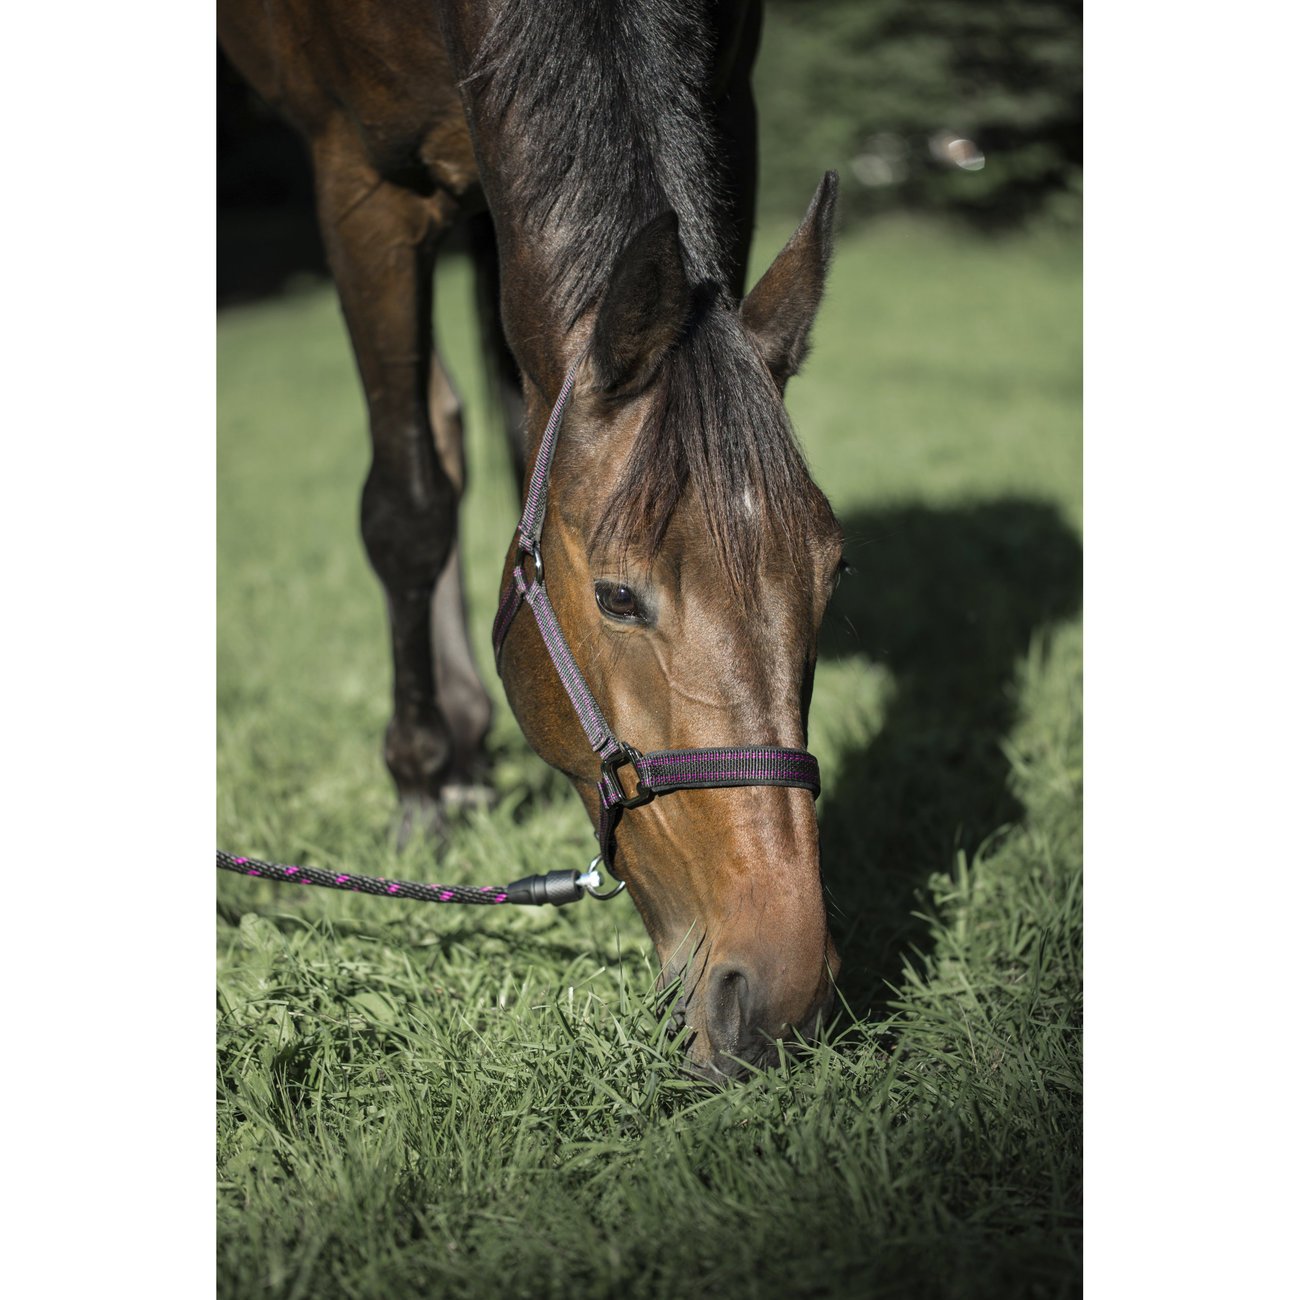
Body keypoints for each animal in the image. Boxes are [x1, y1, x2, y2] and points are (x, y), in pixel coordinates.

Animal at [218, 0, 846, 1079]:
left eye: (833, 574)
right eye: (619, 597)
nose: (779, 989)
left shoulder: (730, 101)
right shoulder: (362, 181)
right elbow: (408, 507)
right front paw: (418, 785)